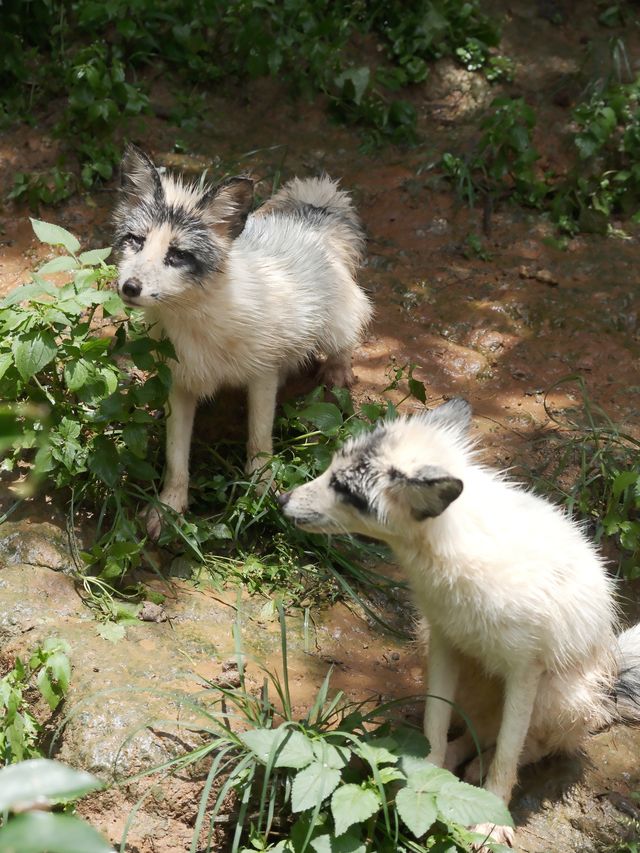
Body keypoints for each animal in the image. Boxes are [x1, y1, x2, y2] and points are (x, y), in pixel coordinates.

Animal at [114, 144, 370, 536]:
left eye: (177, 255)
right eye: (136, 241)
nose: (129, 287)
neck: (195, 323)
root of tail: (307, 221)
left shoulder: (261, 375)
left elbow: (259, 441)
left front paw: (261, 492)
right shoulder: (180, 384)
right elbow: (176, 457)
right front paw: (169, 507)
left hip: (334, 323)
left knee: (348, 333)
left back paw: (337, 372)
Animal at [278, 400, 640, 844]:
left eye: (346, 491)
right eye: (330, 470)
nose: (281, 498)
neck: (456, 552)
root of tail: (611, 677)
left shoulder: (525, 671)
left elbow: (508, 756)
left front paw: (492, 821)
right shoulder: (443, 641)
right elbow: (433, 725)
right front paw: (424, 783)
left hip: (557, 695)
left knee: (527, 744)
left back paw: (480, 769)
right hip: (442, 655)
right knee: (478, 730)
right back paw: (457, 761)